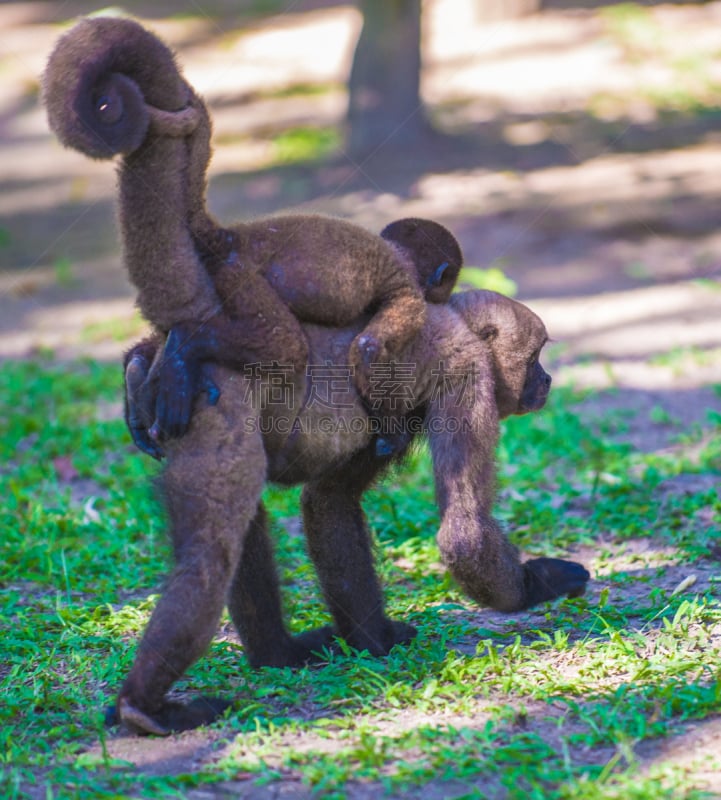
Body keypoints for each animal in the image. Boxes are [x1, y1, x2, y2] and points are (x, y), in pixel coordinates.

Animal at [43, 18, 462, 446]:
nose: (446, 293)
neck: (401, 254)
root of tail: (231, 237)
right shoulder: (409, 293)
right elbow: (368, 347)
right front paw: (392, 432)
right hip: (237, 273)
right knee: (285, 345)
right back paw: (188, 342)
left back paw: (143, 370)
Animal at [115, 290, 588, 736]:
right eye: (535, 356)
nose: (546, 379)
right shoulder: (468, 371)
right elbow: (464, 534)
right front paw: (537, 585)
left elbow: (330, 499)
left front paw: (373, 642)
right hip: (211, 405)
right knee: (208, 557)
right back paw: (142, 708)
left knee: (240, 528)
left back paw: (275, 654)